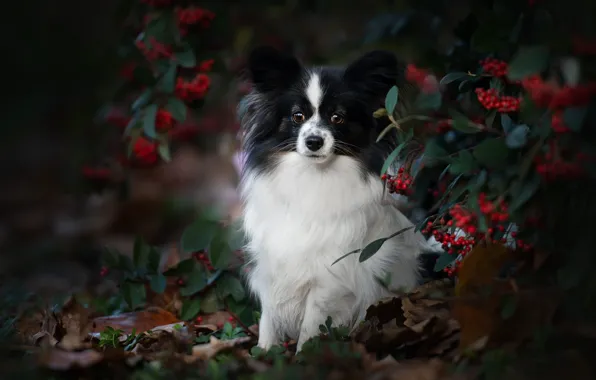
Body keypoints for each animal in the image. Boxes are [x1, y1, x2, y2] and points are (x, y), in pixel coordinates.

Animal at [237, 46, 442, 352]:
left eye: (337, 118)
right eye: (297, 116)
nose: (313, 142)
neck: (312, 178)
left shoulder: (330, 277)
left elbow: (312, 324)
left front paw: (303, 356)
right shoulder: (274, 266)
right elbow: (268, 320)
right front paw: (264, 354)